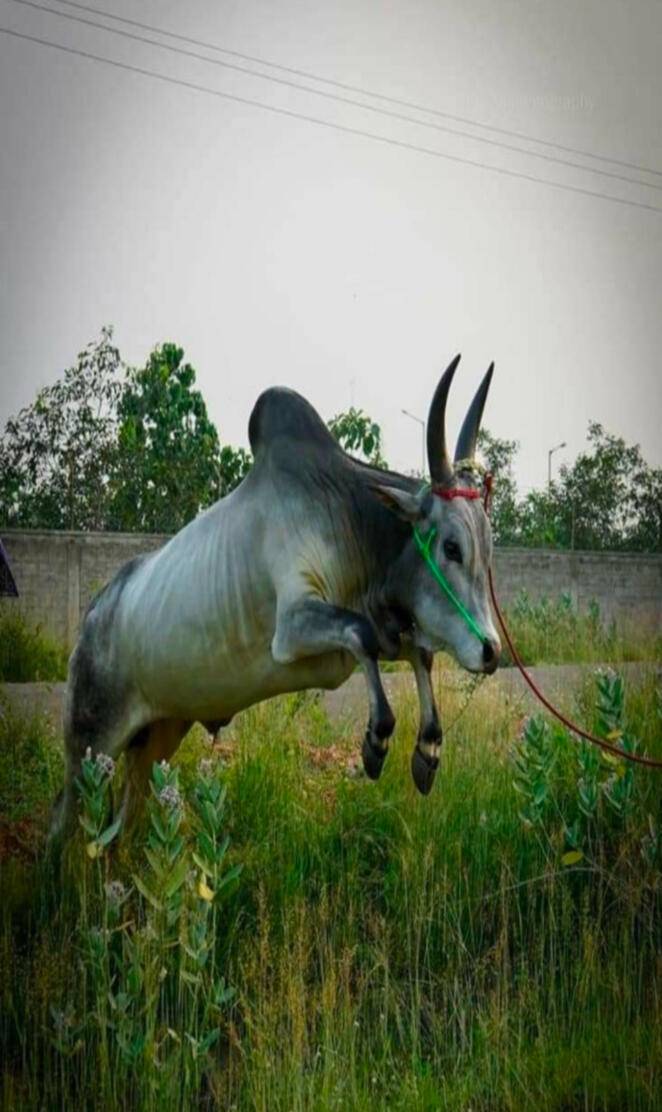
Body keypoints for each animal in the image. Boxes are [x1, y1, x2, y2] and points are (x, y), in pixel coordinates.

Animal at [49, 354, 501, 842]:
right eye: (451, 547)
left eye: (488, 546)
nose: (491, 650)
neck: (347, 517)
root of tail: (93, 616)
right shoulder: (294, 627)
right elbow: (361, 635)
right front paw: (376, 741)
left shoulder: (381, 627)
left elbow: (418, 650)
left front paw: (428, 750)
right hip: (89, 745)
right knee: (62, 823)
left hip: (156, 739)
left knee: (120, 827)